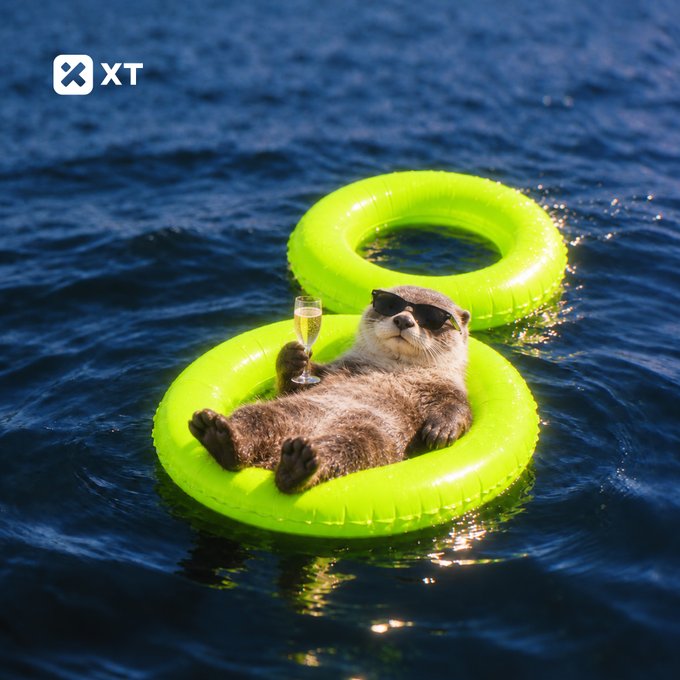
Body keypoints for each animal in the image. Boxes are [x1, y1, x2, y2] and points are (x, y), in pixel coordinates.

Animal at [188, 285, 472, 493]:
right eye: (390, 305)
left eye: (432, 319)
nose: (403, 320)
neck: (394, 368)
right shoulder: (336, 369)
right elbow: (292, 383)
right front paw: (292, 356)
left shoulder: (445, 388)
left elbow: (459, 409)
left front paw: (441, 430)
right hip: (284, 411)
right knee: (256, 417)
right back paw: (219, 434)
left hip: (371, 437)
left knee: (343, 451)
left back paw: (297, 466)